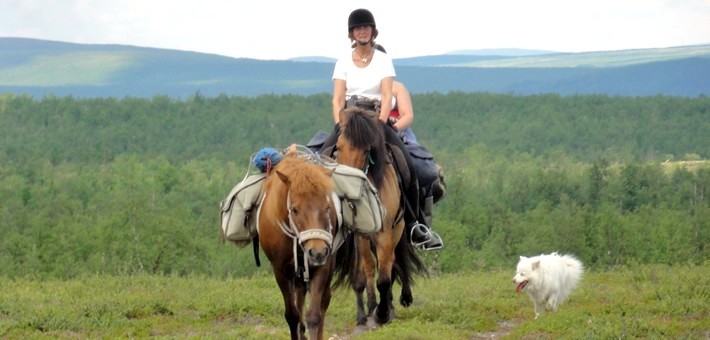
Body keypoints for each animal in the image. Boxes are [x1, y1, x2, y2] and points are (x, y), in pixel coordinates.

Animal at [258, 155, 344, 340]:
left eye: (327, 207)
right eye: (295, 210)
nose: (317, 252)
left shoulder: (322, 266)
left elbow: (314, 315)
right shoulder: (280, 271)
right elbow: (292, 315)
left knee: (324, 301)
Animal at [336, 106, 428, 324]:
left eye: (366, 150)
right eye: (339, 147)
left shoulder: (385, 234)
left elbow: (385, 277)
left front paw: (383, 312)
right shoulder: (361, 235)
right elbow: (369, 268)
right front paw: (371, 307)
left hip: (399, 229)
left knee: (396, 261)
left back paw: (399, 300)